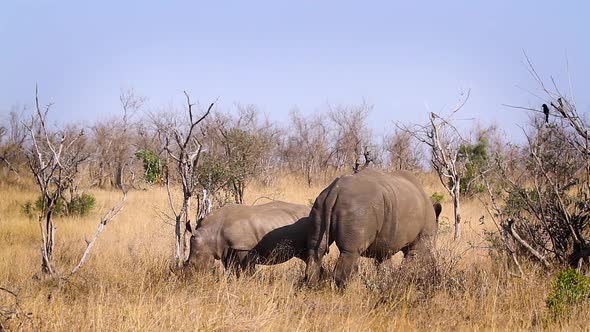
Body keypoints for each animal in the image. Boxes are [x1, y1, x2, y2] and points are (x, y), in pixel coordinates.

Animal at [308, 169, 442, 288]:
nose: (436, 277)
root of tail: (335, 190)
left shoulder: (385, 246)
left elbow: (384, 266)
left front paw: (387, 284)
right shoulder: (421, 242)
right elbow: (413, 262)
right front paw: (403, 282)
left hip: (320, 202)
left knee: (316, 249)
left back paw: (312, 286)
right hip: (359, 207)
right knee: (351, 252)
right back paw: (346, 291)